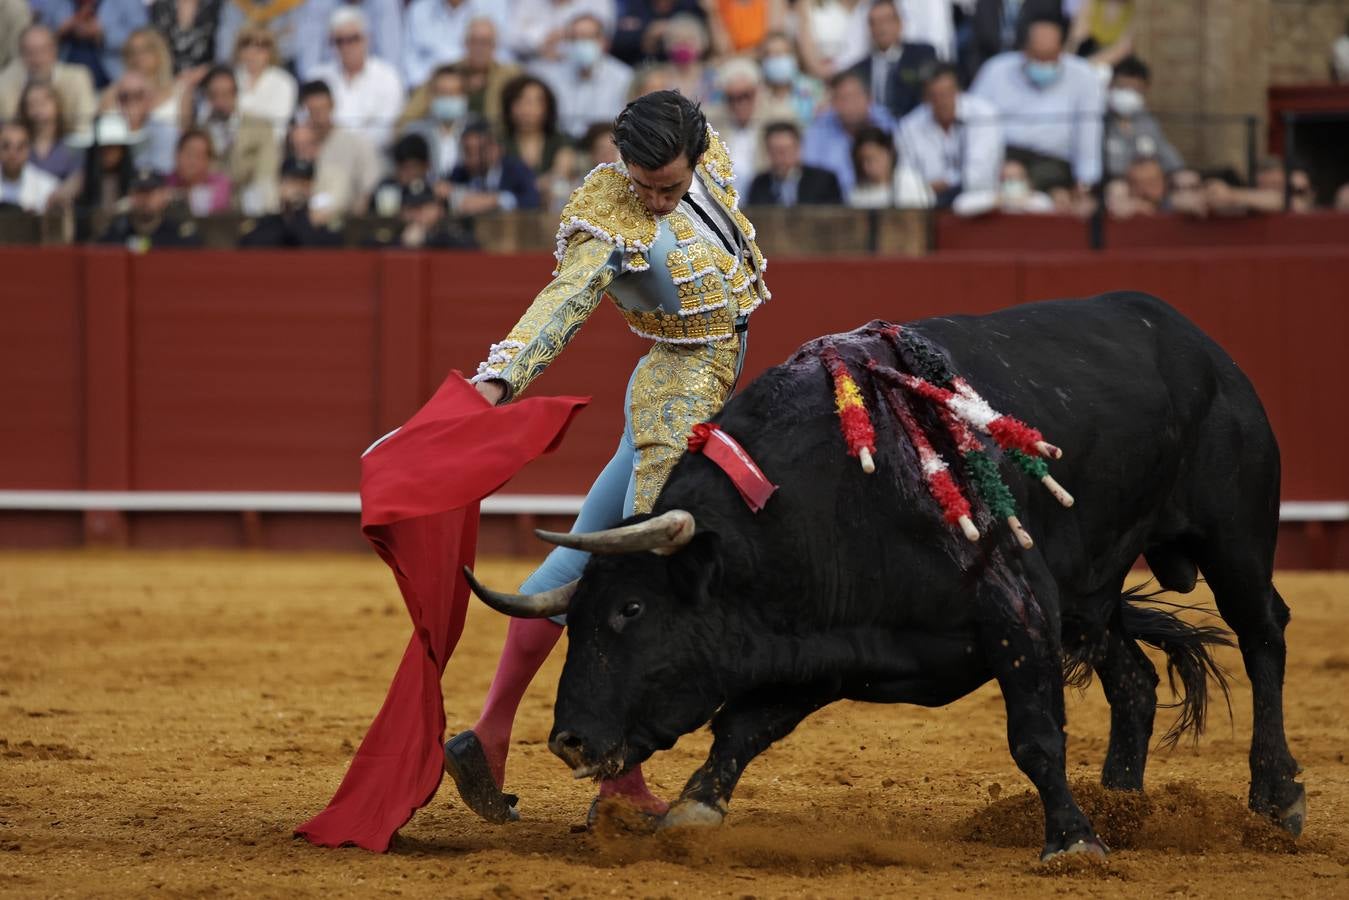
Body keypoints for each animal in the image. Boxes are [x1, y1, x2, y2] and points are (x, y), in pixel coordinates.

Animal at [466, 292, 1305, 863]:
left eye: (632, 610)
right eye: (577, 618)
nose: (569, 740)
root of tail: (1192, 337)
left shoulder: (1015, 606)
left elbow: (1034, 736)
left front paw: (1071, 842)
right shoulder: (822, 642)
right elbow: (743, 725)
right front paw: (690, 812)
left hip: (1233, 535)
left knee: (1262, 633)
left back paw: (1275, 799)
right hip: (1090, 590)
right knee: (1132, 677)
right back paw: (1124, 807)